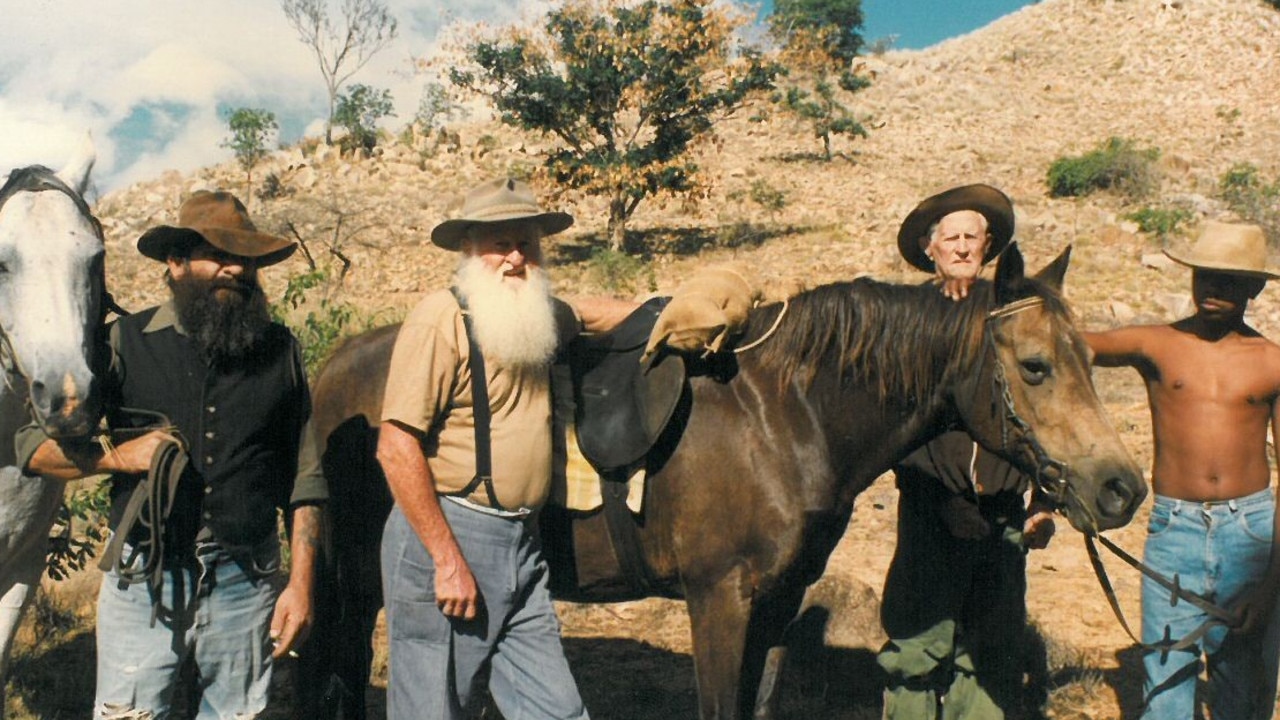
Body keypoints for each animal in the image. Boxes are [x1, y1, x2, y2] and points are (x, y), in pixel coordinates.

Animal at [296, 243, 1141, 712]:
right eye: (1034, 366)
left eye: (1092, 359)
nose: (1121, 488)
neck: (784, 418)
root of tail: (338, 362)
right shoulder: (718, 603)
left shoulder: (774, 605)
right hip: (359, 585)